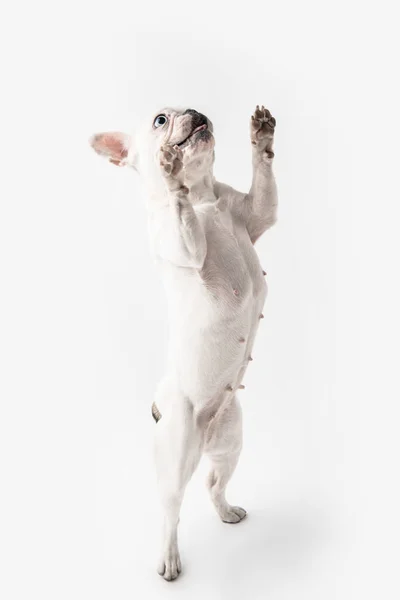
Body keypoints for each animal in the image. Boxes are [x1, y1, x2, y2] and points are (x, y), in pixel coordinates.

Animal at [90, 105, 278, 580]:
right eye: (160, 120)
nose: (194, 115)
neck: (204, 196)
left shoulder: (257, 215)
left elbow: (264, 189)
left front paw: (262, 134)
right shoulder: (179, 241)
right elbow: (182, 220)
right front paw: (170, 169)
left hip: (231, 442)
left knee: (213, 485)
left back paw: (227, 512)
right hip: (176, 459)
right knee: (170, 512)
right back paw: (169, 559)